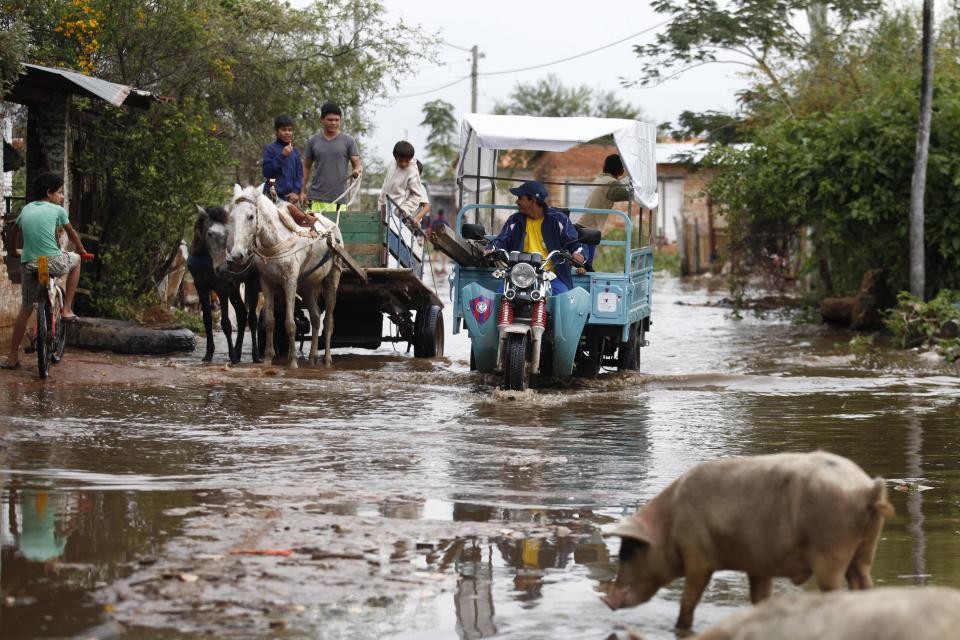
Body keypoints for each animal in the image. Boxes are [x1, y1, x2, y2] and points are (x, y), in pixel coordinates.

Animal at [223, 185, 344, 368]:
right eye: (232, 218)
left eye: (251, 216)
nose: (236, 256)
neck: (276, 241)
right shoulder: (266, 282)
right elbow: (270, 321)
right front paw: (267, 359)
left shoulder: (290, 282)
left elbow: (290, 323)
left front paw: (293, 361)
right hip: (308, 286)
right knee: (316, 317)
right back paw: (312, 358)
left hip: (331, 279)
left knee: (328, 322)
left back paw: (327, 359)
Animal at [604, 452, 896, 632]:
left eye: (627, 553)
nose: (607, 600)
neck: (669, 525)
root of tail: (866, 489)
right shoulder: (758, 565)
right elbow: (760, 597)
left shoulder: (698, 556)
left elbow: (689, 599)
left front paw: (679, 628)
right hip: (864, 548)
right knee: (863, 584)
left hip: (831, 550)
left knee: (836, 590)